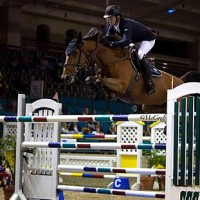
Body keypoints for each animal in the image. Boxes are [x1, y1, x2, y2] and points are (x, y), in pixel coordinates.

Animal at [61, 27, 200, 114]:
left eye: (74, 53)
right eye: (65, 53)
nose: (65, 78)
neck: (113, 60)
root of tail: (180, 80)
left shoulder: (121, 85)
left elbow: (95, 79)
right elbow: (92, 79)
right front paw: (101, 93)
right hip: (151, 107)